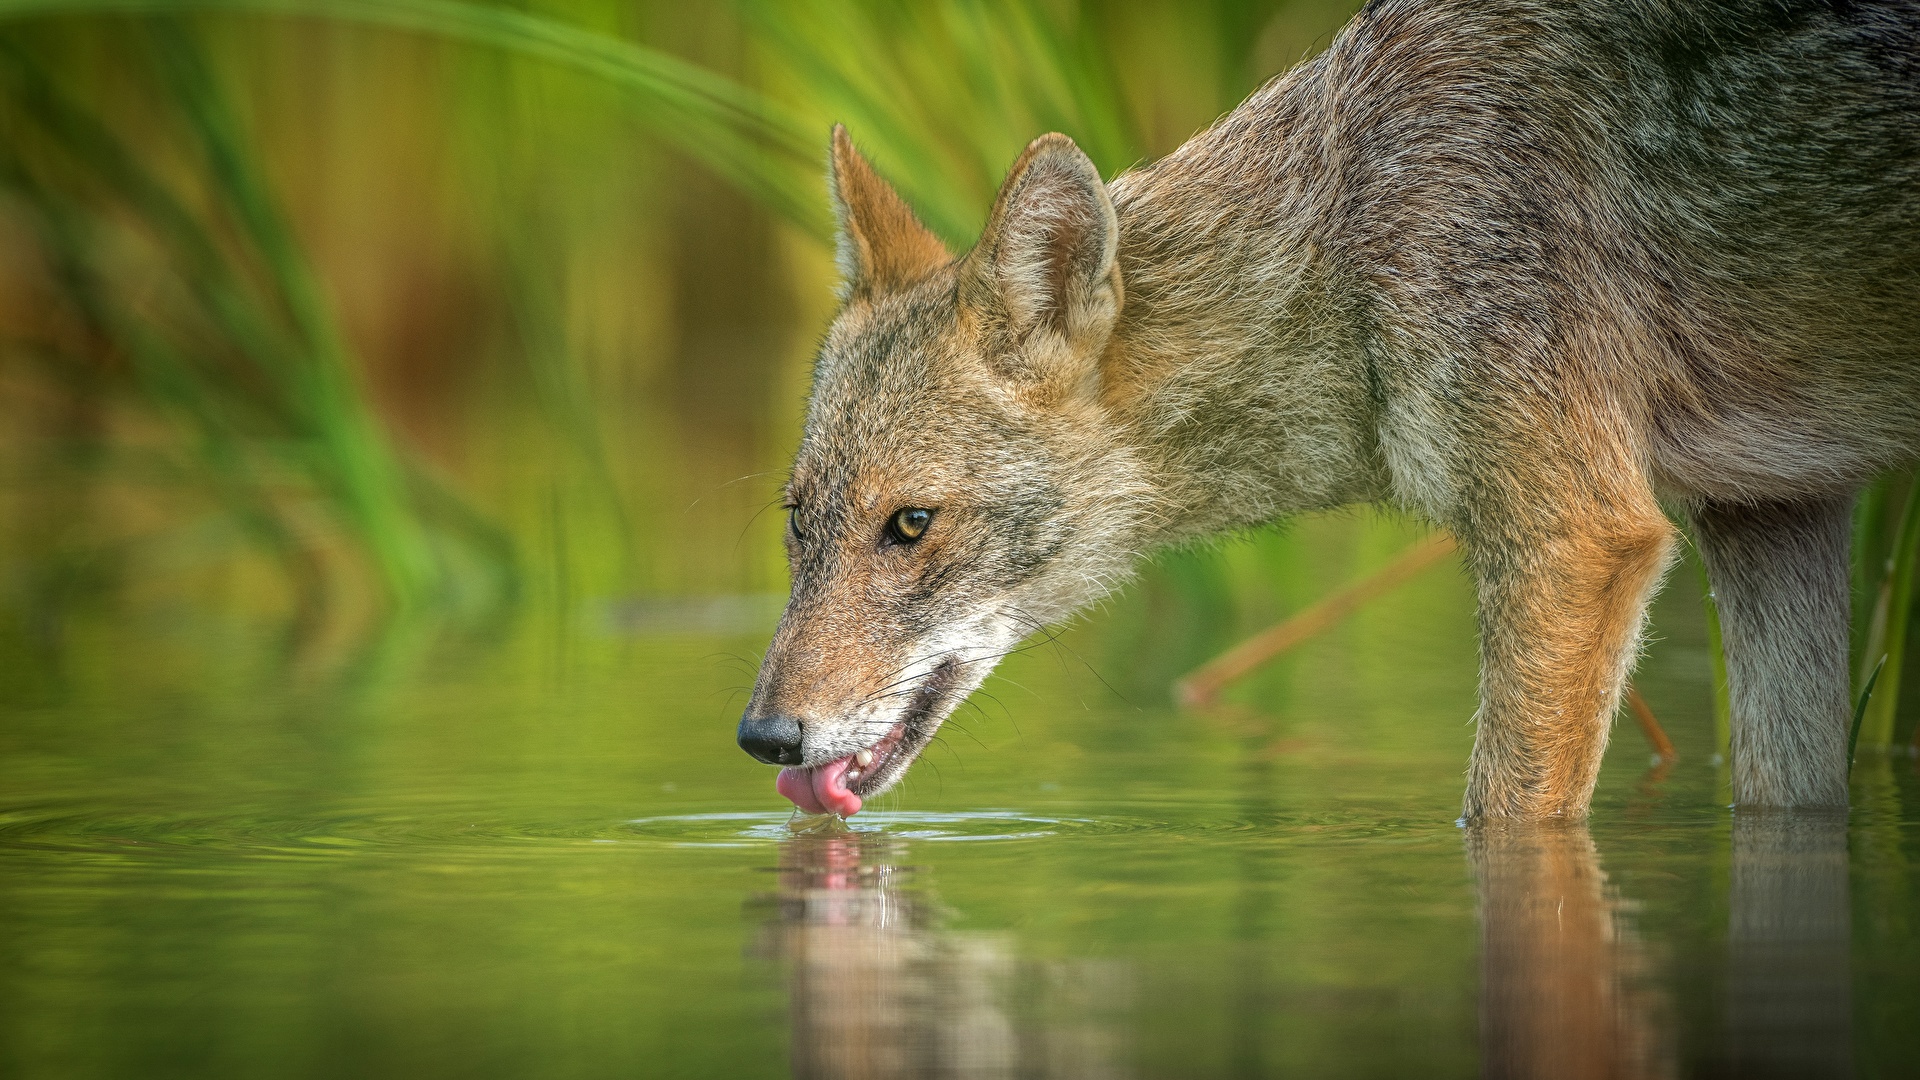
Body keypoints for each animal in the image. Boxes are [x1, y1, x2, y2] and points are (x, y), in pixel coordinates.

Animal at [733, 0, 1920, 814]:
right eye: (797, 523)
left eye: (910, 525)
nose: (762, 738)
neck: (1352, 234)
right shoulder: (1774, 513)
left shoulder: (1577, 539)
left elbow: (1506, 819)